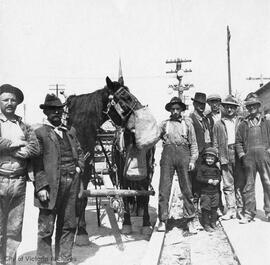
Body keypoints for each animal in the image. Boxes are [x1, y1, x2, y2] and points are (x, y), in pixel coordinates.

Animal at [64, 76, 155, 243]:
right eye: (125, 97)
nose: (146, 123)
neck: (77, 132)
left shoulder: (86, 171)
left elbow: (82, 198)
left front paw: (81, 232)